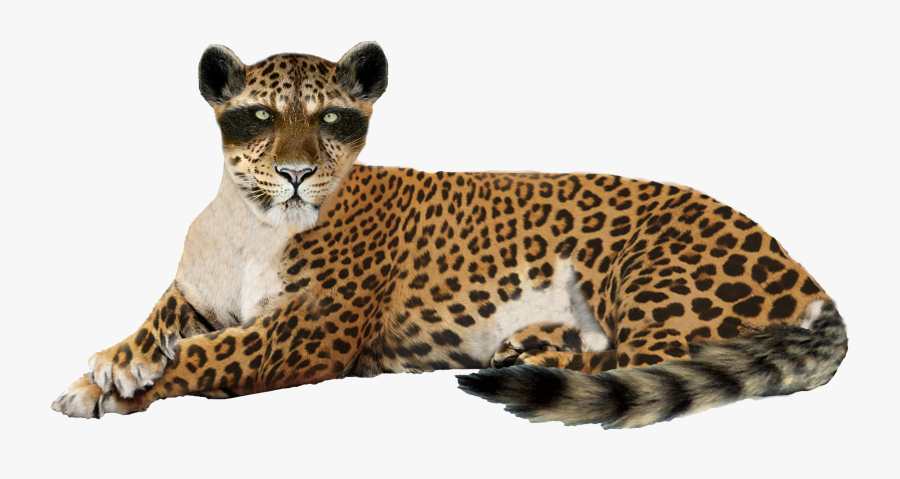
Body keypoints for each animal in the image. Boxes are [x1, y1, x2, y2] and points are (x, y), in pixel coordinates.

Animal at [52, 42, 848, 428]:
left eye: (333, 118)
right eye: (259, 117)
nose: (297, 173)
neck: (250, 224)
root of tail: (808, 278)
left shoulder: (305, 334)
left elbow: (206, 354)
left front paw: (111, 389)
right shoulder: (198, 295)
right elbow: (159, 319)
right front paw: (113, 363)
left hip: (649, 272)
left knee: (635, 362)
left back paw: (535, 353)